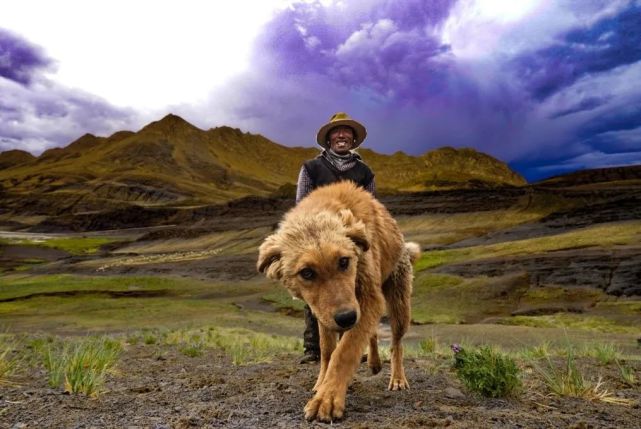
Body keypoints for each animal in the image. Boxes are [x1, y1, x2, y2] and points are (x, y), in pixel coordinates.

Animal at [255, 181, 420, 422]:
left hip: (398, 304)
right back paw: (373, 362)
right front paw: (322, 382)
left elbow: (345, 351)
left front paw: (328, 397)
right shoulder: (323, 312)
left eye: (344, 261)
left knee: (396, 343)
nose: (346, 318)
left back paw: (397, 378)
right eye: (306, 273)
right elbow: (327, 350)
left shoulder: (369, 299)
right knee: (371, 333)